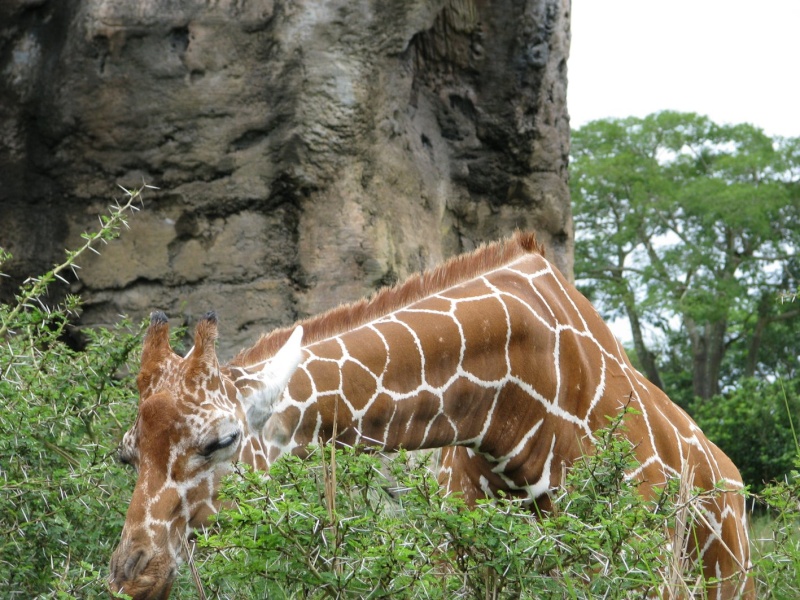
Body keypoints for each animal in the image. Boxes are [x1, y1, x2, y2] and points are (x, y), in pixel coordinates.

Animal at [111, 230, 752, 596]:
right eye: (126, 455)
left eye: (221, 441)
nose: (131, 577)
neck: (515, 407)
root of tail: (731, 478)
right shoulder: (460, 560)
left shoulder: (632, 567)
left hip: (724, 579)